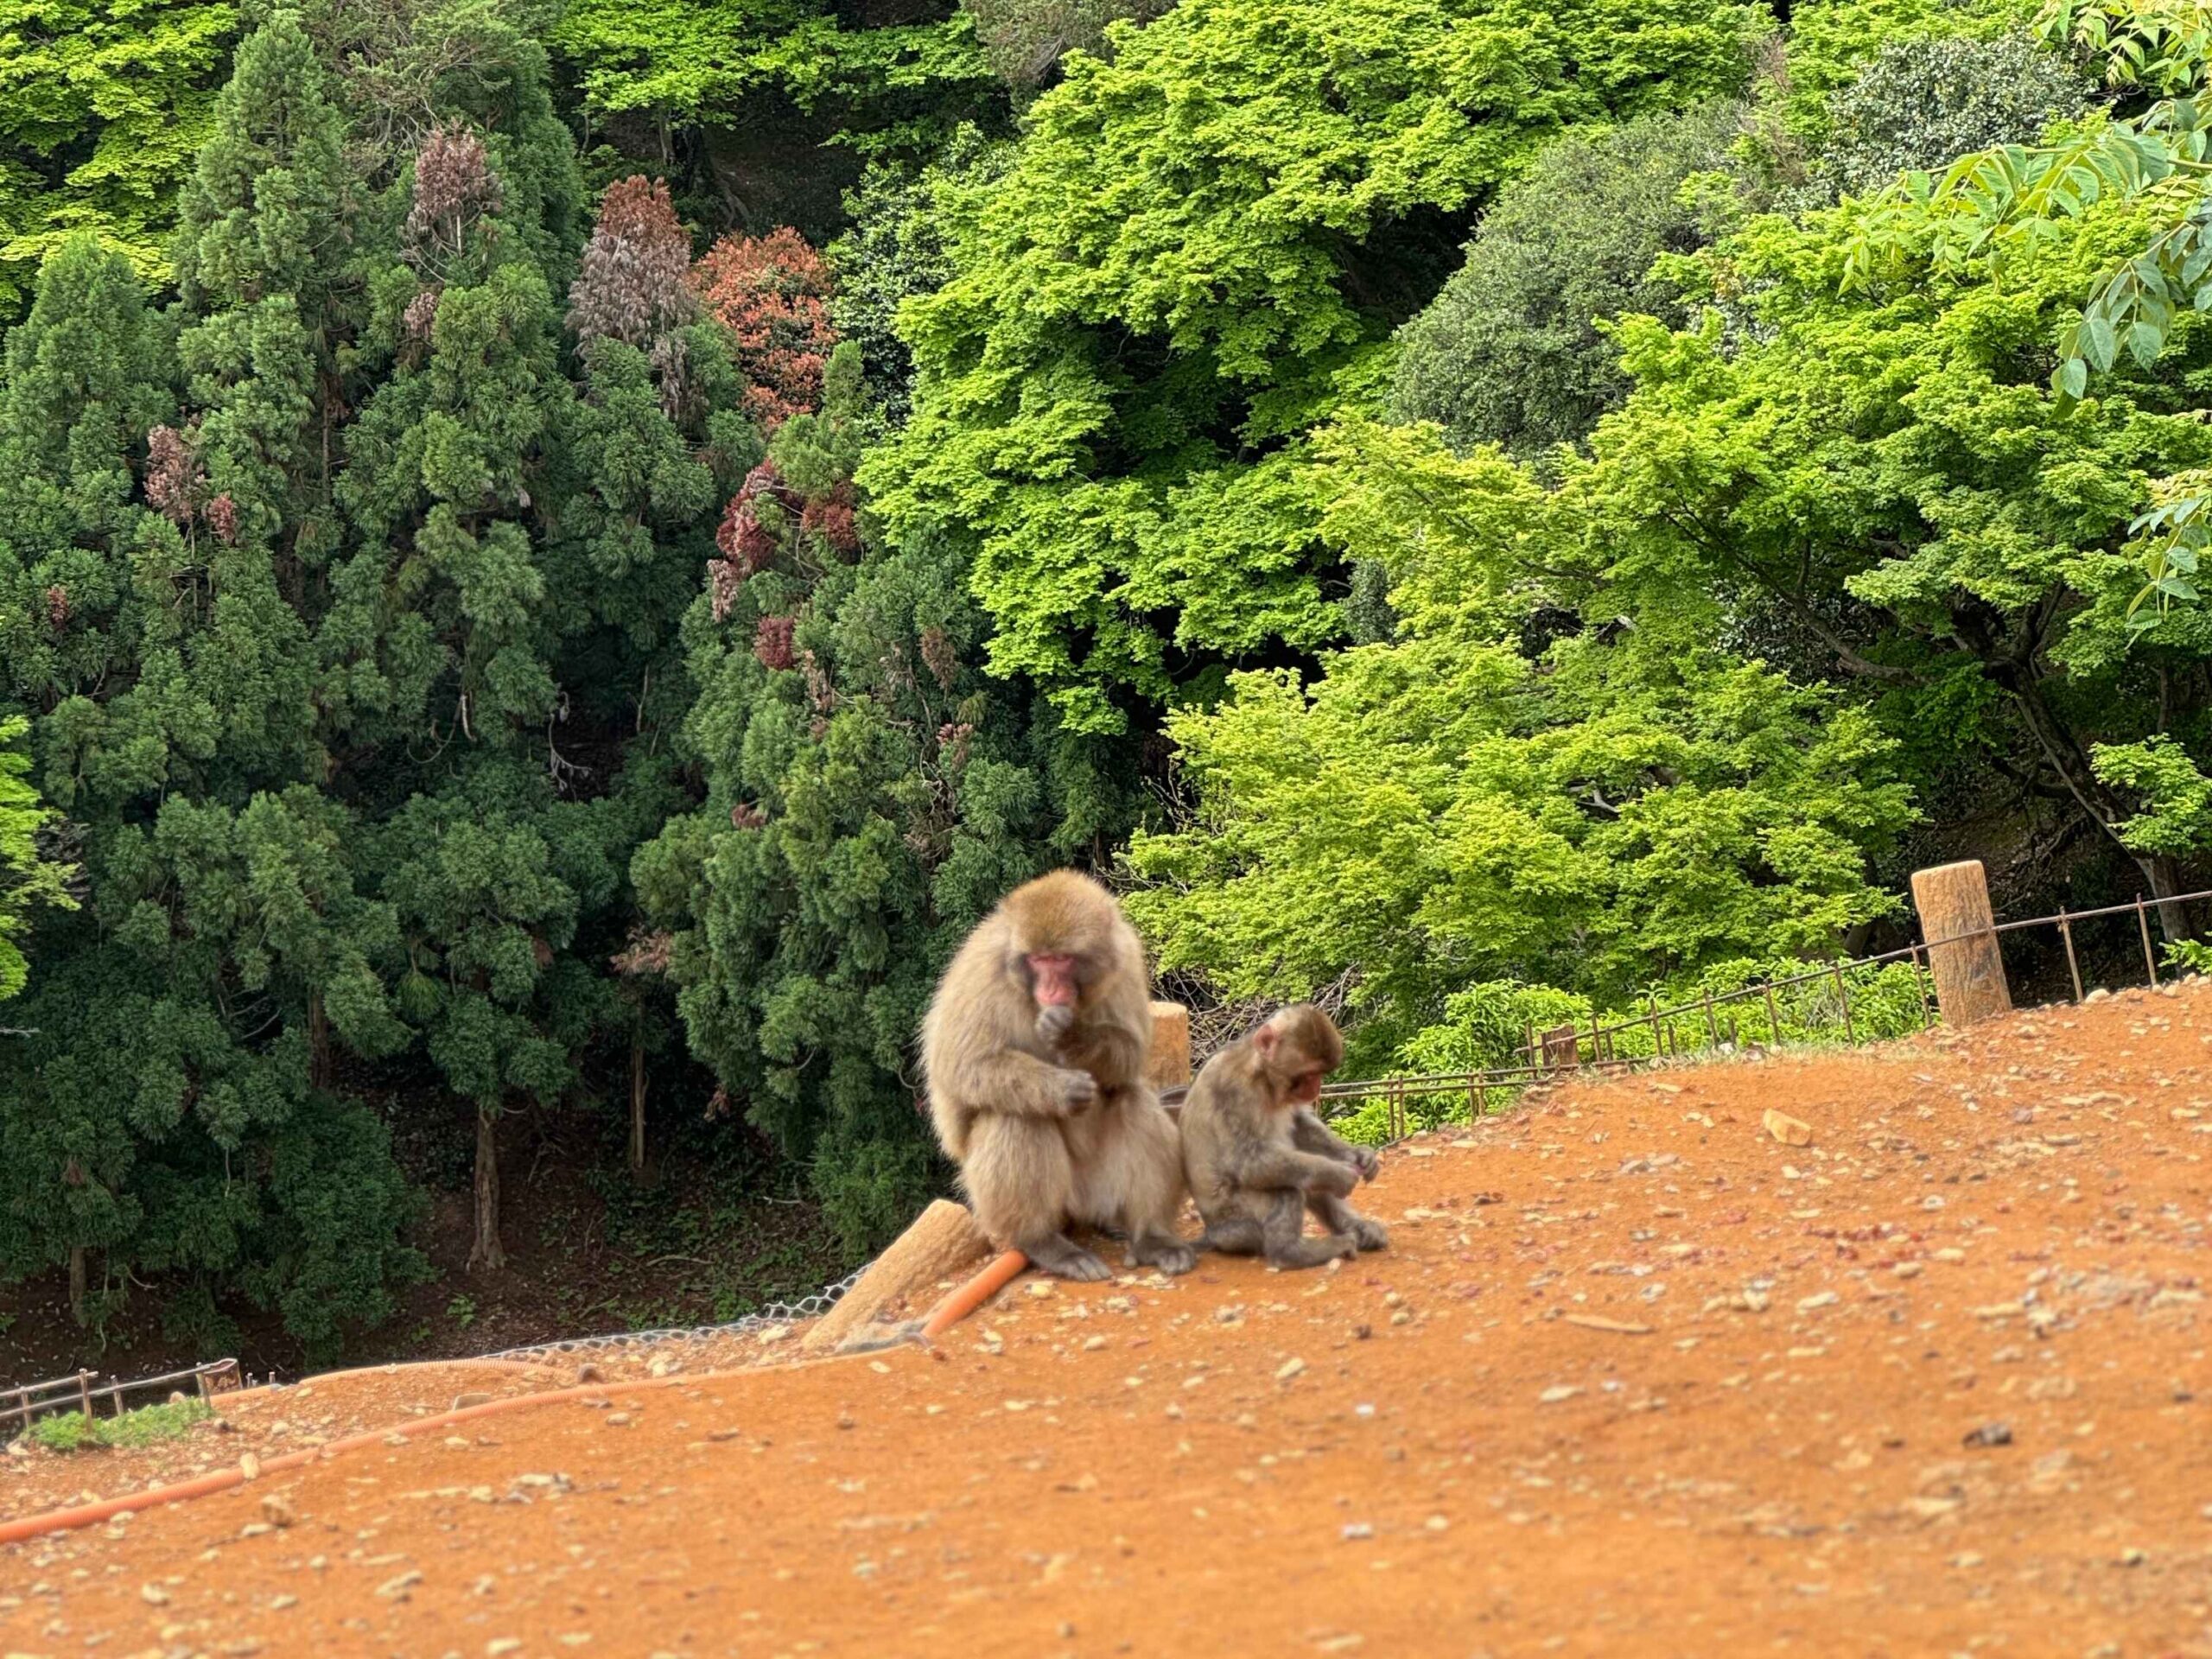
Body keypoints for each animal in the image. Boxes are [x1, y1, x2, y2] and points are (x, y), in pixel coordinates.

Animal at [915, 871, 1194, 1282]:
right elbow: (963, 1066)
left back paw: (1151, 1237)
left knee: (1132, 1097)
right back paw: (1044, 1243)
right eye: (1038, 960)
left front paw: (1073, 1036)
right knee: (1016, 1115)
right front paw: (1062, 1089)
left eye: (1061, 959)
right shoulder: (982, 972)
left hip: (1102, 1188)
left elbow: (1130, 1052)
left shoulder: (1125, 958)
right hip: (1028, 1202)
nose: (1050, 988)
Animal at [1185, 1000, 1389, 1274]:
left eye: (1321, 1074)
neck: (1263, 1076)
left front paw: (1360, 1156)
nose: (1316, 1088)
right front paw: (1337, 1173)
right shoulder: (1234, 1089)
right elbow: (1248, 1163)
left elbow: (1299, 1126)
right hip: (1237, 1222)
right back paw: (1293, 1254)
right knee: (1287, 1187)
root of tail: (1214, 1233)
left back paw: (1359, 1231)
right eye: (1308, 1074)